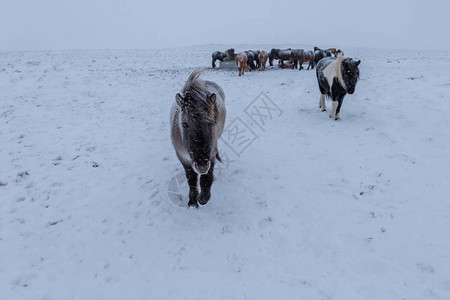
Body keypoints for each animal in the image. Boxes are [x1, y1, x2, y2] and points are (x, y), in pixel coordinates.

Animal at [170, 69, 227, 207]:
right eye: (184, 124)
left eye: (211, 123)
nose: (201, 166)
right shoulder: (183, 157)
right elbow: (191, 179)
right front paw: (192, 202)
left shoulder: (210, 154)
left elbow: (207, 177)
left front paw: (203, 198)